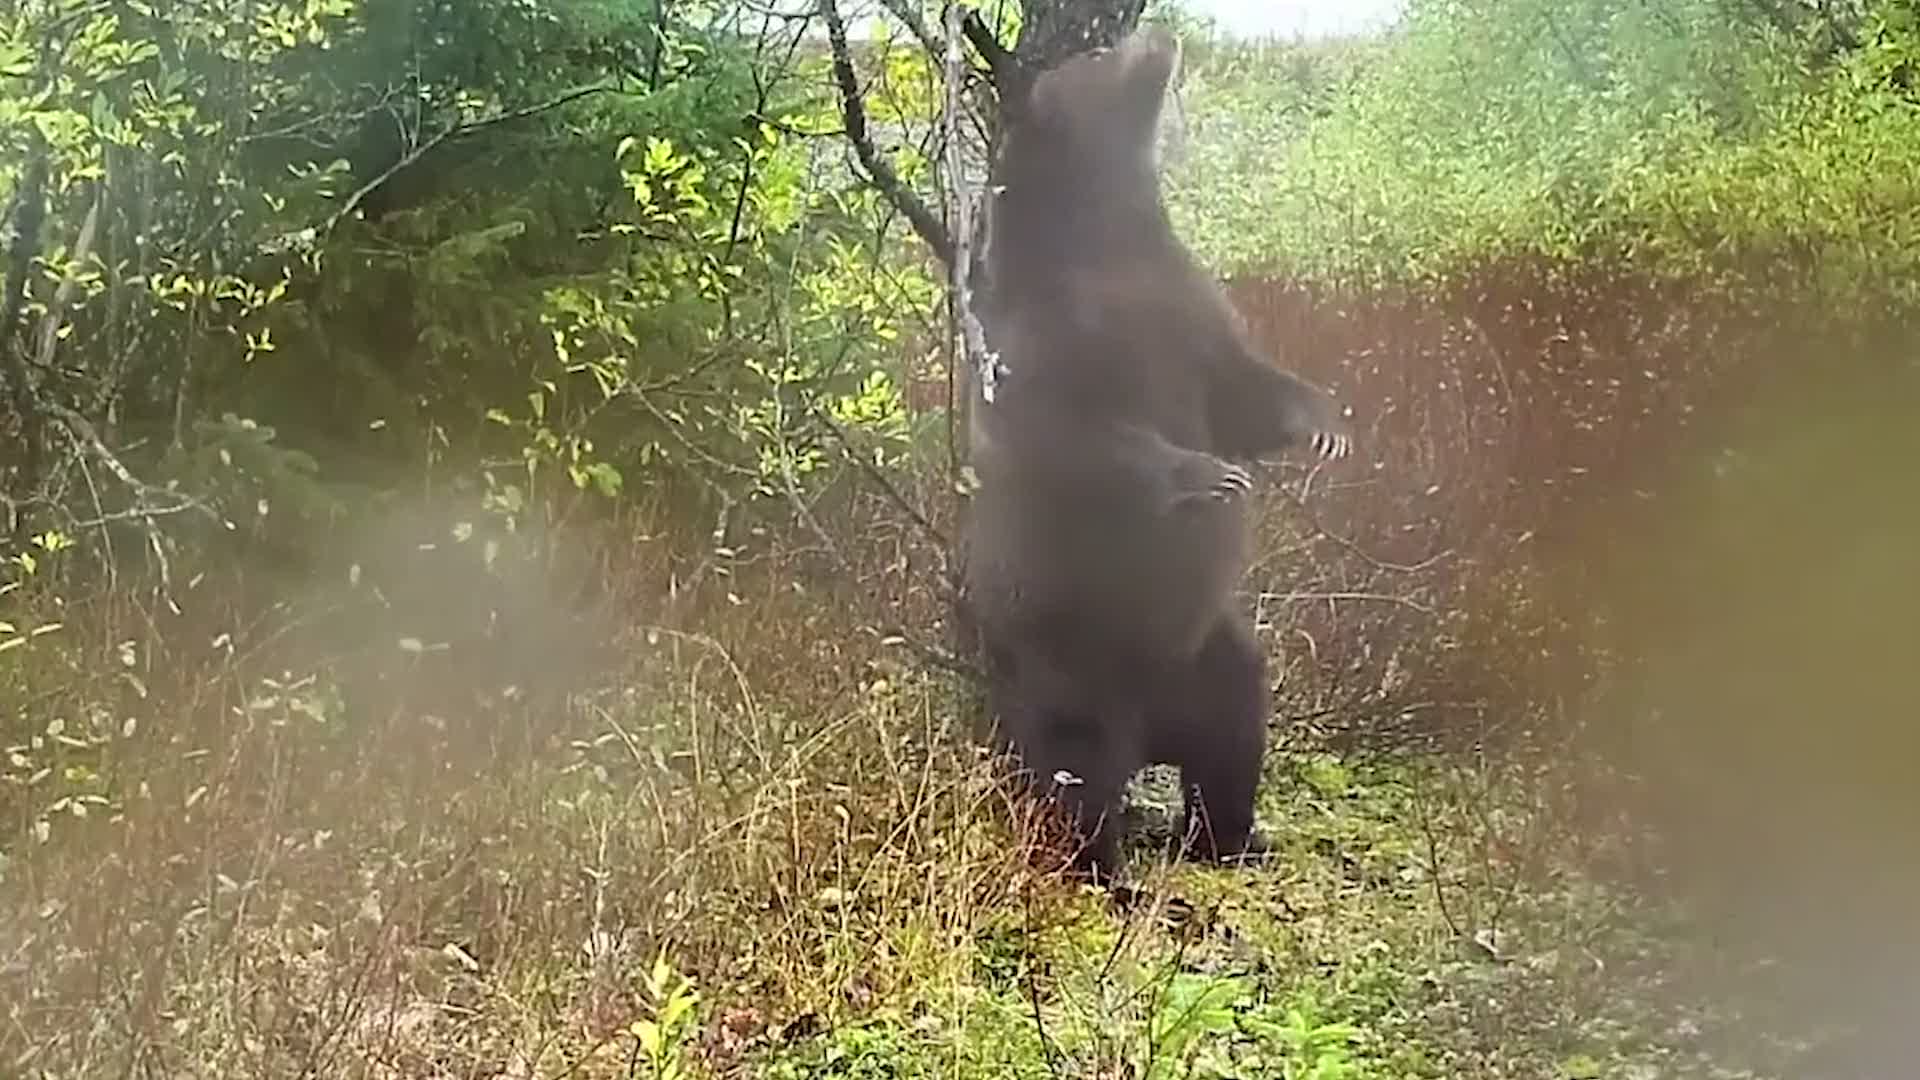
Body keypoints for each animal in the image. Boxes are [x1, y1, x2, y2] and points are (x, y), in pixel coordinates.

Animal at [958, 24, 1352, 884]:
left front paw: (1327, 423)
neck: (1106, 234)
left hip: (1208, 655)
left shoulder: (1188, 305)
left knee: (1235, 726)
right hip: (1068, 656)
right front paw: (1210, 476)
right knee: (1076, 771)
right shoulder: (1051, 340)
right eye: (1094, 57)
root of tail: (1152, 731)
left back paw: (1233, 837)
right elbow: (1075, 433)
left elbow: (1244, 390)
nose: (1157, 31)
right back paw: (1108, 872)